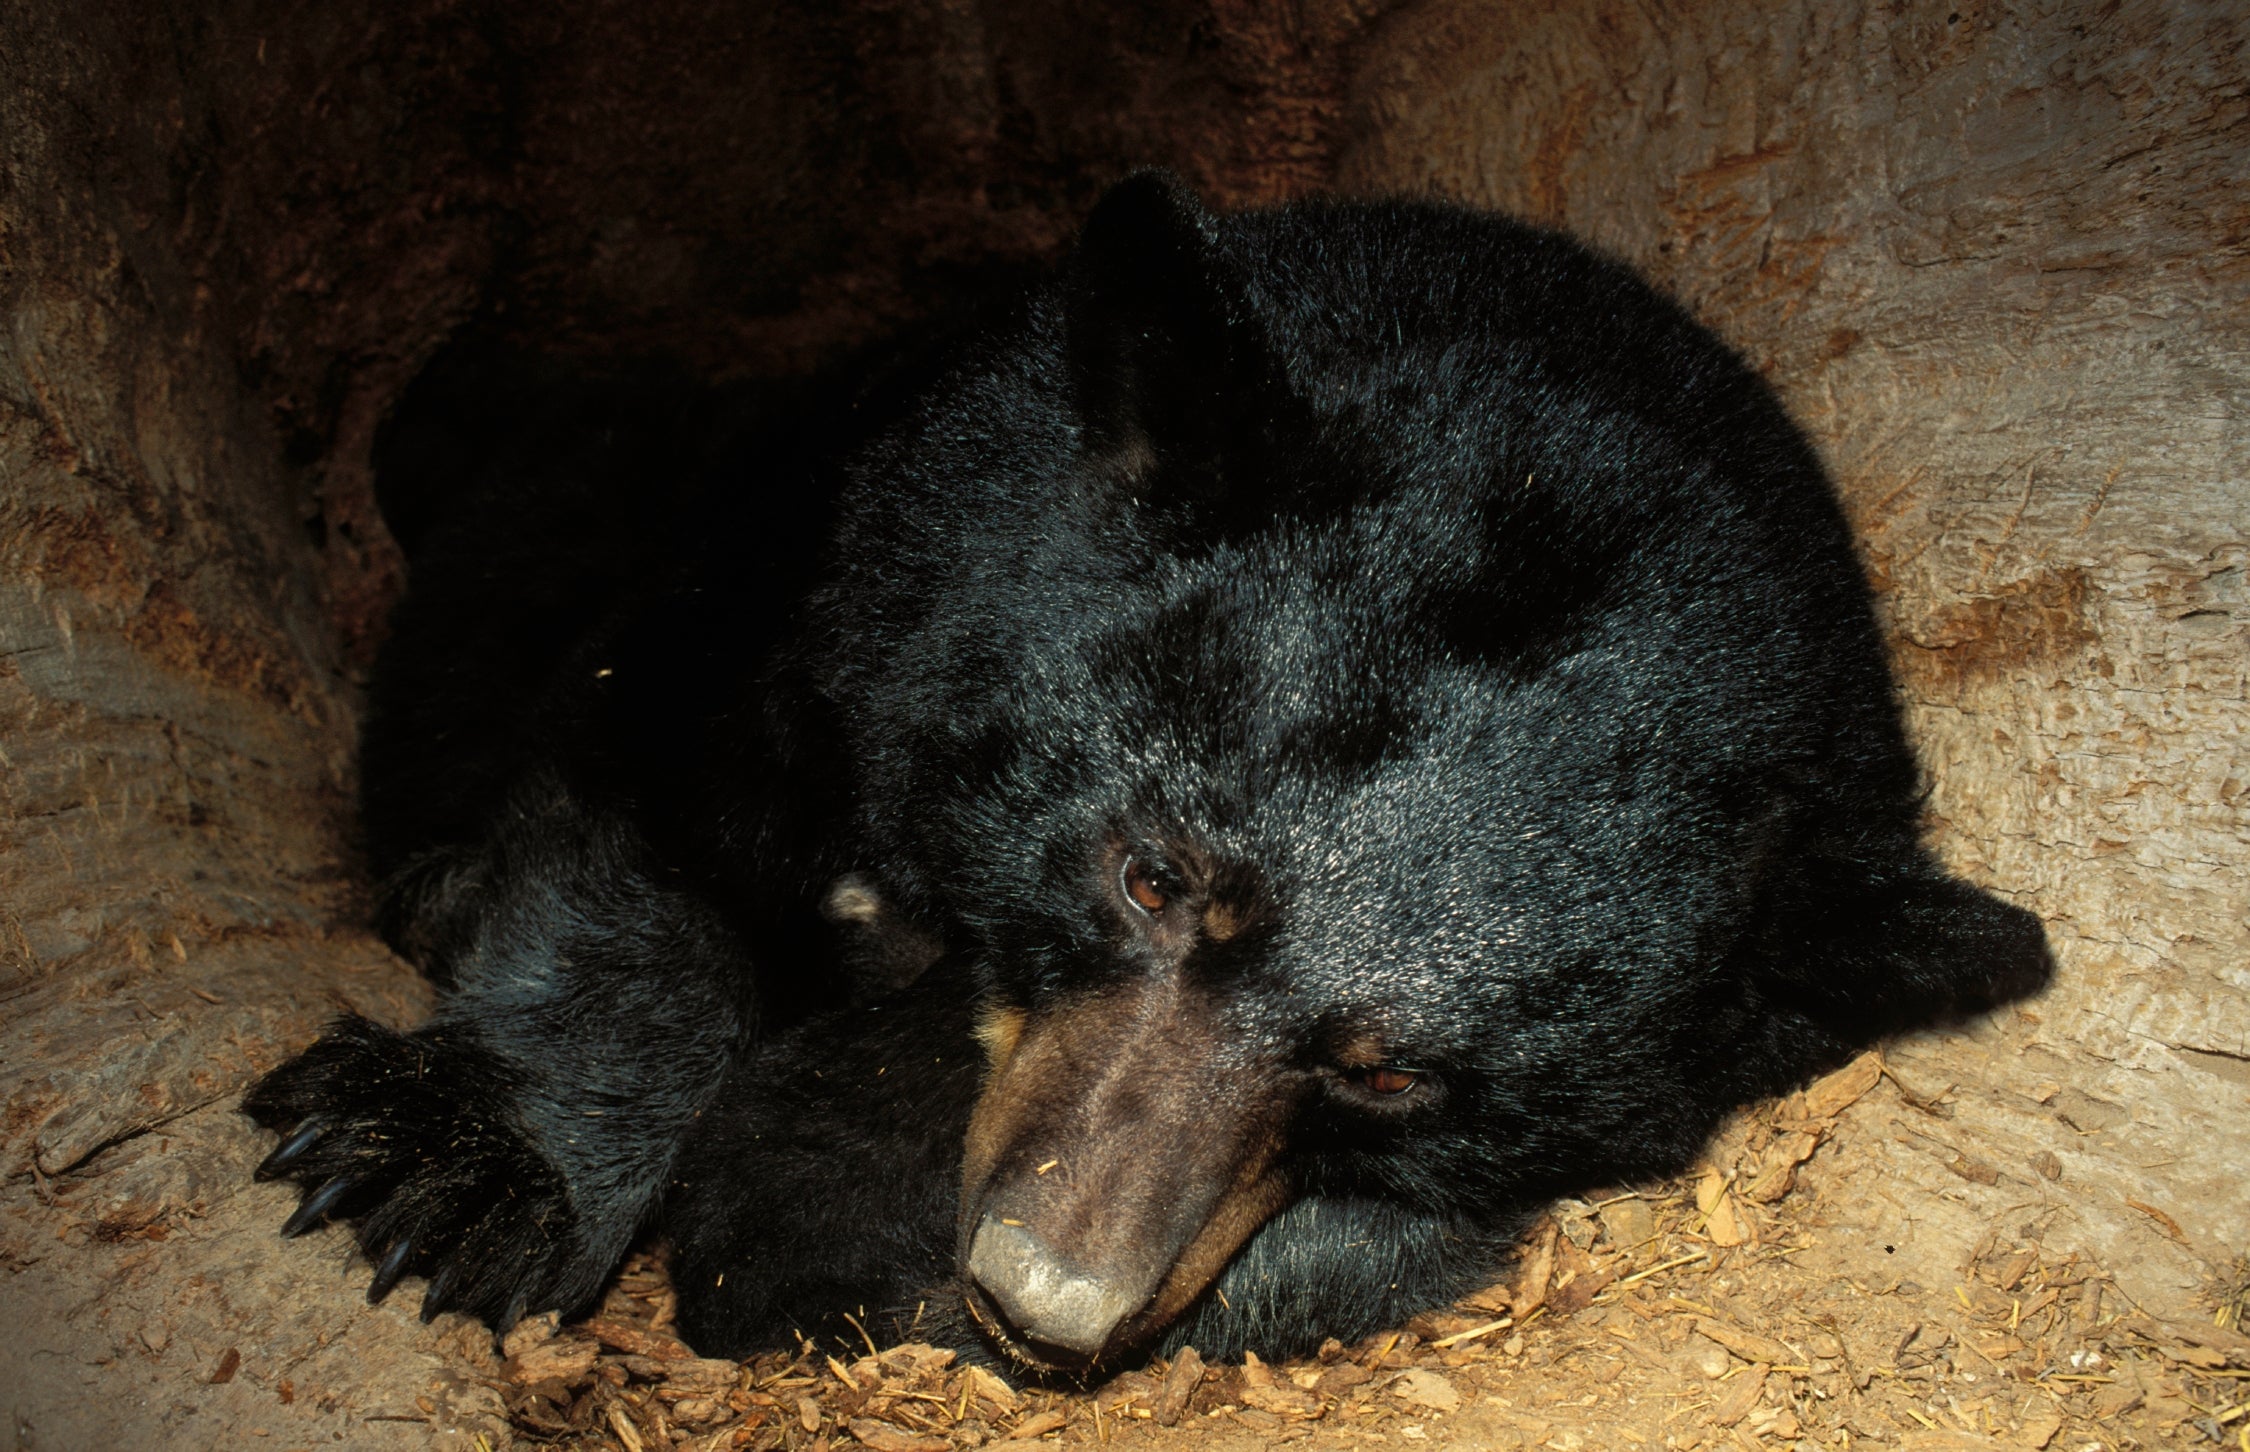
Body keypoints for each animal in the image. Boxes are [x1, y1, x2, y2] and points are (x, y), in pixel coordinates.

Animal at [250, 169, 2061, 1368]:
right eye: (1148, 874)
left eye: (1392, 1073)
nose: (1041, 1291)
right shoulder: (853, 578)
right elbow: (646, 831)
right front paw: (445, 1160)